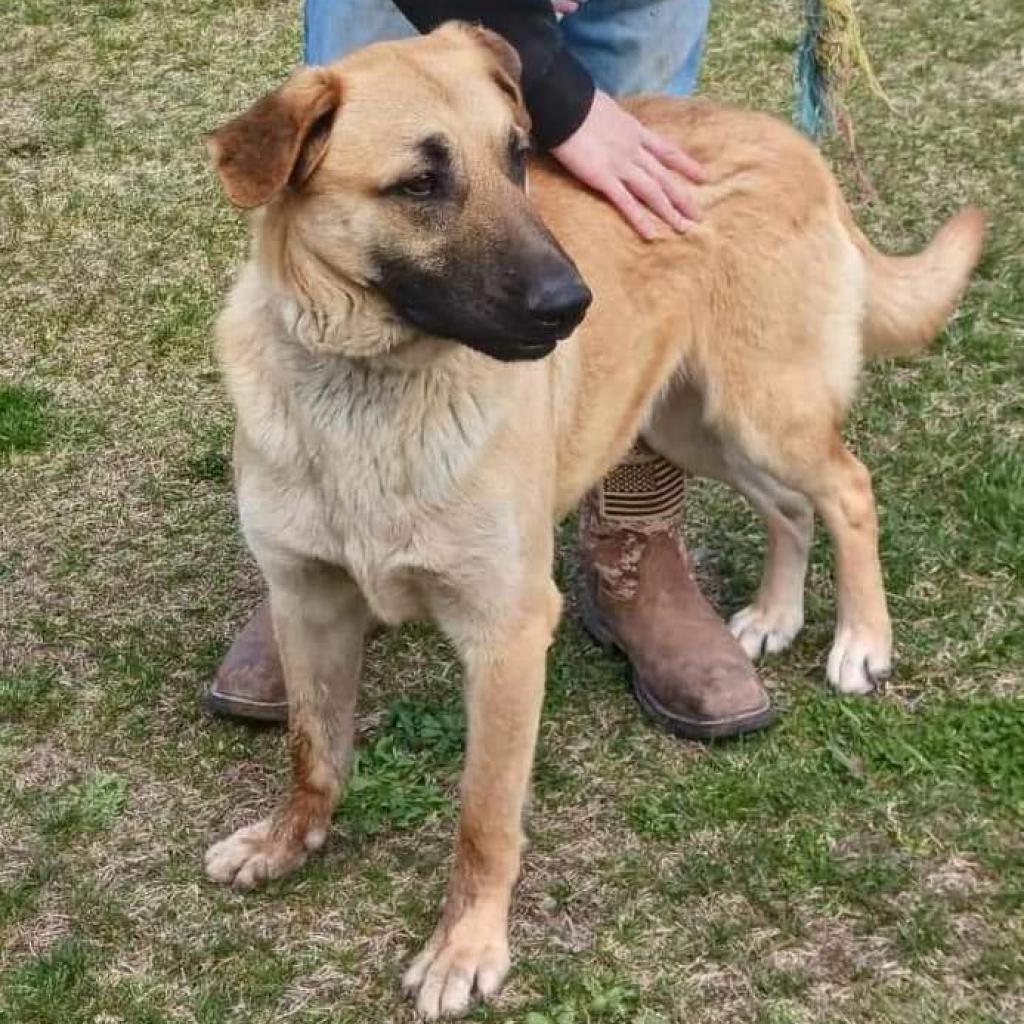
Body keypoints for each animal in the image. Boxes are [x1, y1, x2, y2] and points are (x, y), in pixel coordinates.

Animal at [205, 22, 983, 1015]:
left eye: (518, 157)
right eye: (419, 184)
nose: (571, 304)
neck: (369, 385)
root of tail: (794, 142)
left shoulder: (506, 636)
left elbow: (484, 819)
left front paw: (467, 948)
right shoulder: (308, 603)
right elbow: (312, 751)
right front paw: (287, 840)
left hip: (764, 412)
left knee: (847, 490)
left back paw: (861, 641)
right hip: (695, 423)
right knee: (790, 508)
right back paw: (776, 615)